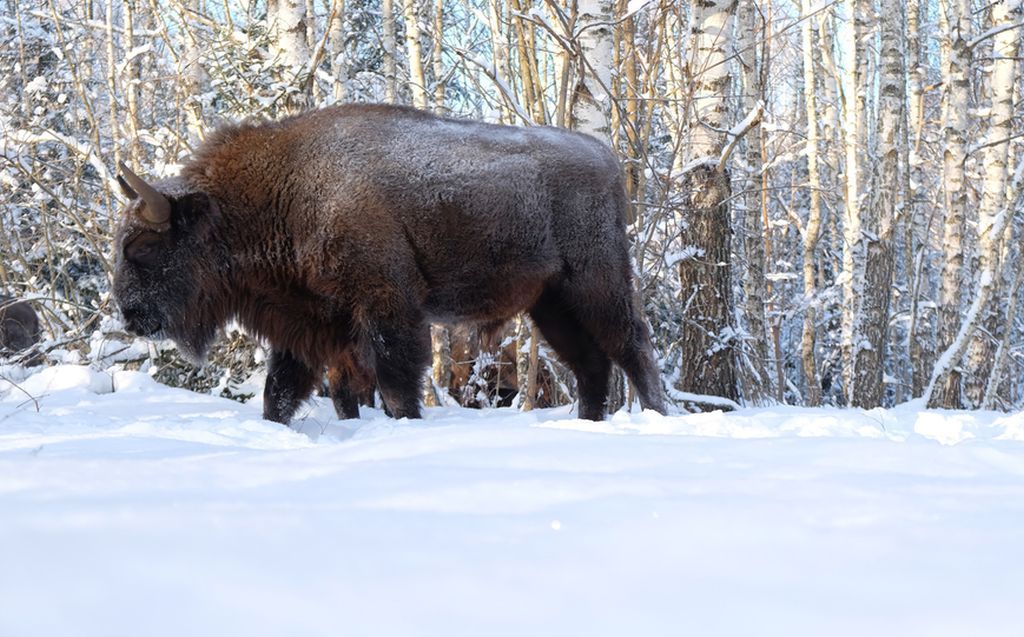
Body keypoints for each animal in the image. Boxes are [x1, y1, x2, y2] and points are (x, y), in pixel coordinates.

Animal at [112, 104, 667, 423]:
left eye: (143, 249)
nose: (130, 314)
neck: (289, 189)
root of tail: (606, 157)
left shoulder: (387, 308)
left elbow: (396, 385)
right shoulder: (313, 324)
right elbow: (285, 393)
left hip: (595, 284)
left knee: (632, 346)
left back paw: (658, 417)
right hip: (549, 302)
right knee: (591, 362)